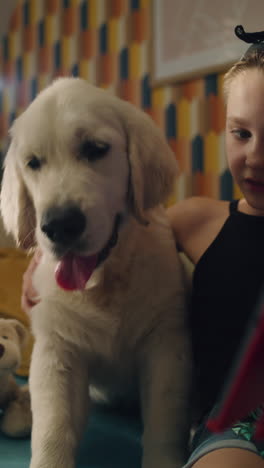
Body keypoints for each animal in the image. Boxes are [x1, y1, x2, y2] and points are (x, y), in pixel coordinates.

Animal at [0, 77, 191, 468]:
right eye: (33, 163)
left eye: (95, 149)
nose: (59, 225)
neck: (104, 283)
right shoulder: (57, 350)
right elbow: (53, 428)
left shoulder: (167, 344)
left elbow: (164, 423)